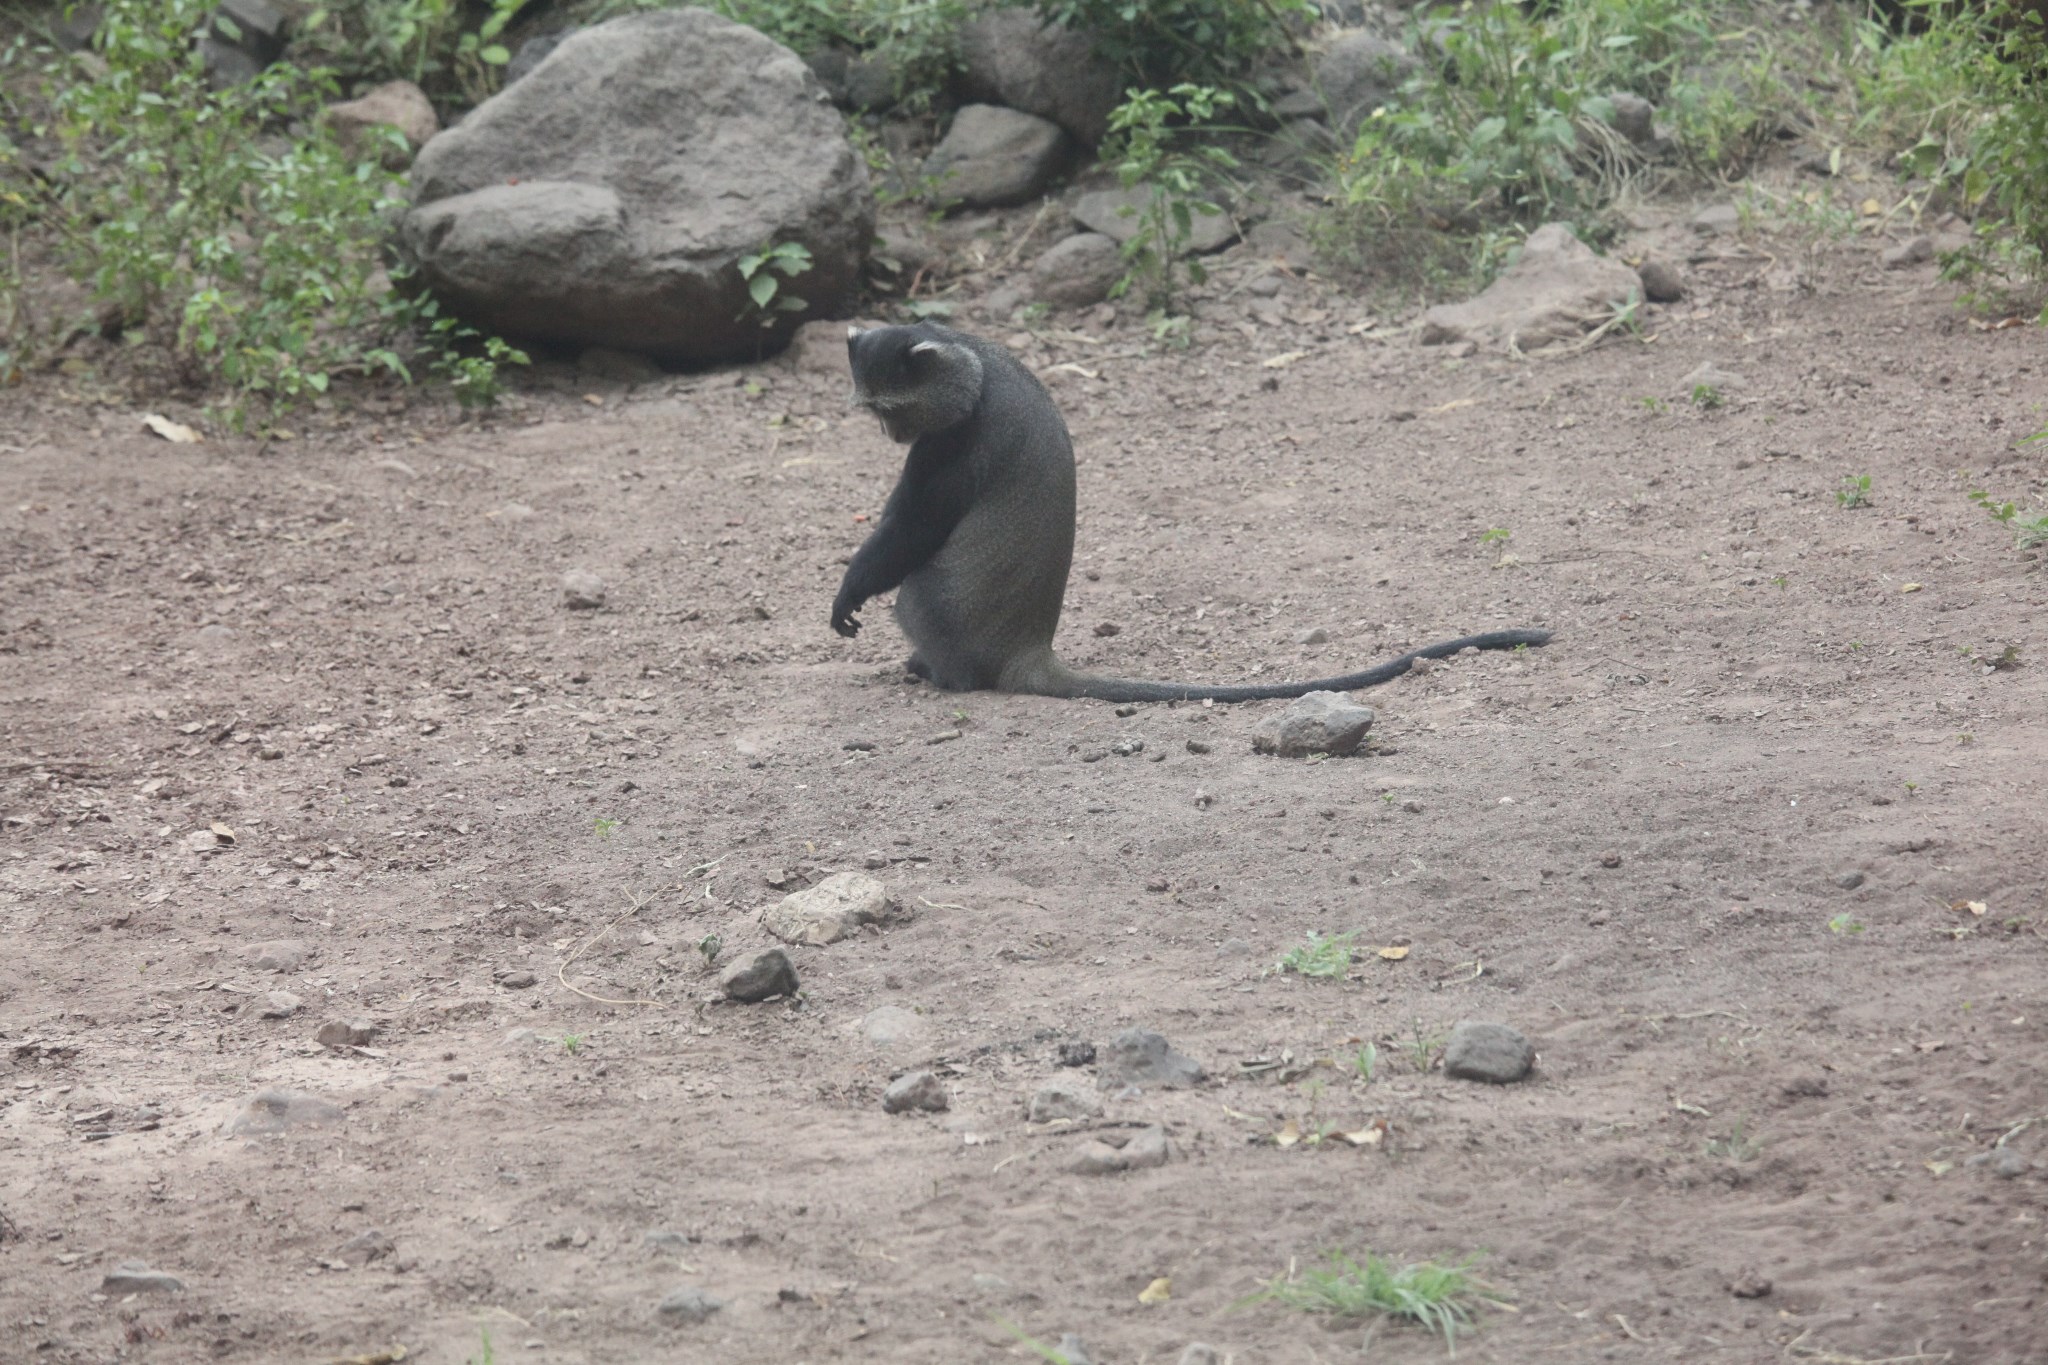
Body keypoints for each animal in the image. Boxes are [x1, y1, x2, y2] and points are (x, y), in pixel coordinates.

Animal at [831, 323, 1548, 703]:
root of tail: (1025, 651)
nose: (889, 434)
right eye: (873, 410)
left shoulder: (950, 446)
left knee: (914, 593)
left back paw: (938, 672)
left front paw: (848, 594)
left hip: (941, 613)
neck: (971, 363)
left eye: (892, 409)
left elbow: (911, 529)